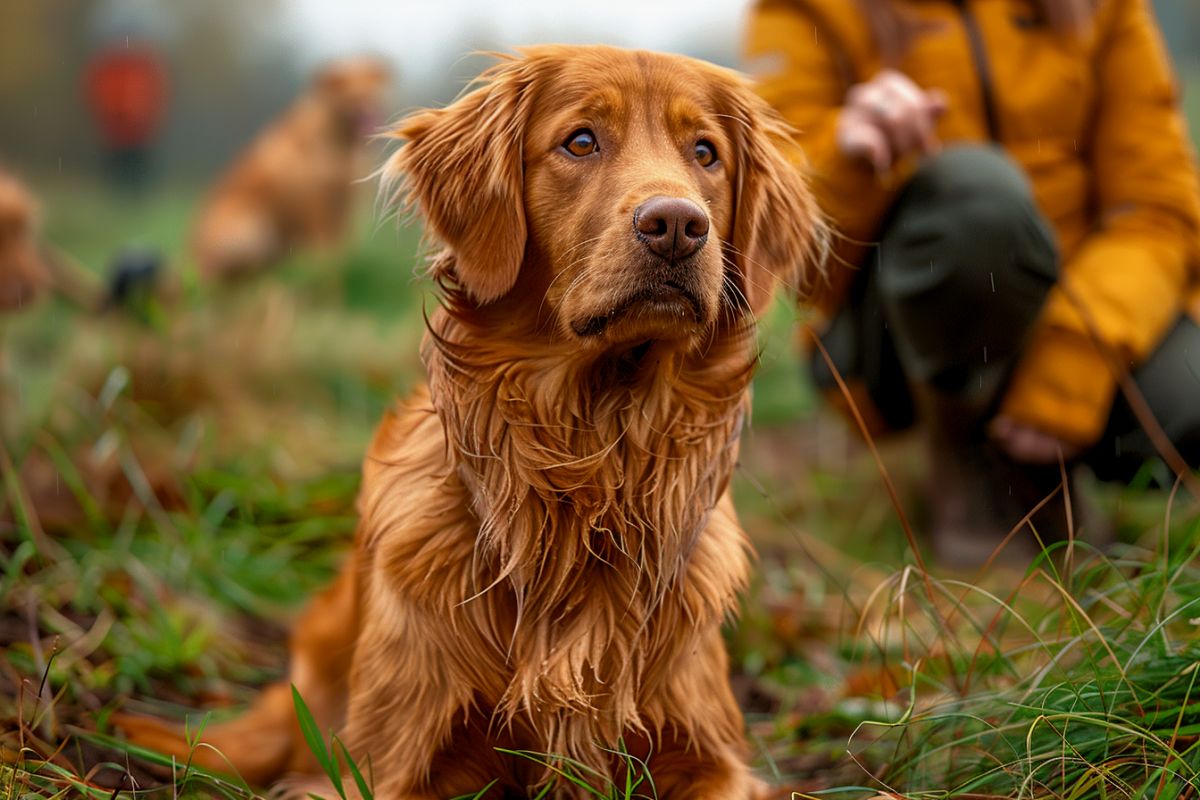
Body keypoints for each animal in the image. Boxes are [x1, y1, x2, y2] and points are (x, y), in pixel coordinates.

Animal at [121, 45, 830, 800]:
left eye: (705, 153)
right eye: (581, 141)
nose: (676, 225)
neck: (593, 462)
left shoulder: (709, 754)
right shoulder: (388, 763)